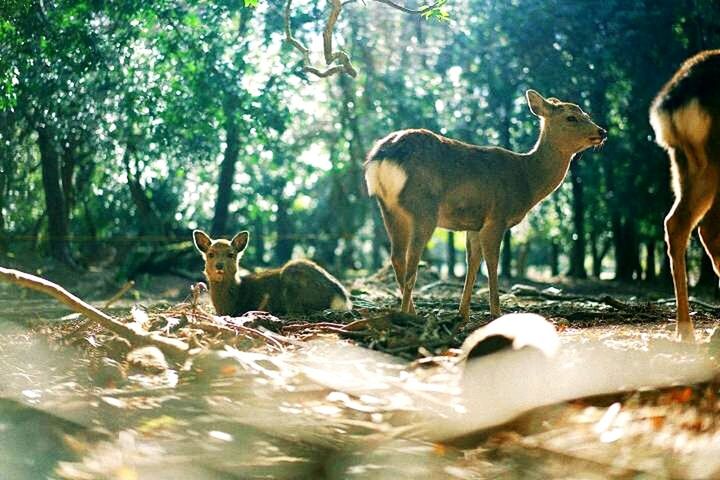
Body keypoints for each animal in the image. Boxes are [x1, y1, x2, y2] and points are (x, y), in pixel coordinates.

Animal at [366, 91, 608, 322]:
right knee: (411, 263)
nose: (602, 131)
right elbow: (492, 262)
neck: (526, 180)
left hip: (388, 208)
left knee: (396, 257)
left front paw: (463, 314)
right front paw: (496, 312)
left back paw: (411, 313)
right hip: (423, 207)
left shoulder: (474, 224)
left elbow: (473, 262)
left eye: (586, 114)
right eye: (571, 117)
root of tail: (381, 157)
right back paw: (407, 316)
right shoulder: (497, 216)